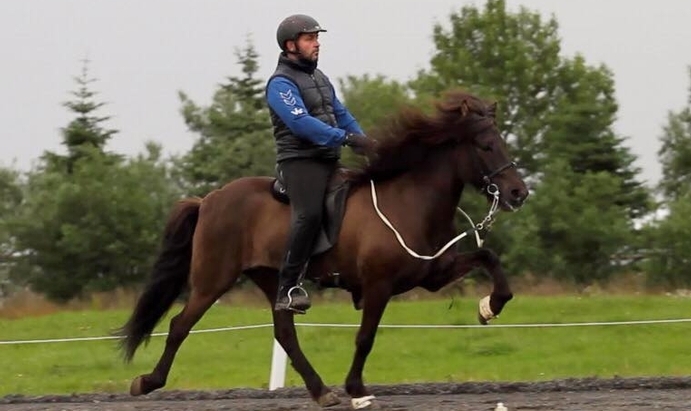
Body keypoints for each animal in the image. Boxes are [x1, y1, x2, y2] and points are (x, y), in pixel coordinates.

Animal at [117, 89, 528, 408]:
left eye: (503, 141)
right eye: (486, 145)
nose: (517, 193)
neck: (410, 202)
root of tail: (208, 200)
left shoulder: (433, 274)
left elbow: (488, 258)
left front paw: (489, 307)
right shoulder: (378, 285)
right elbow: (366, 337)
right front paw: (357, 389)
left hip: (273, 279)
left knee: (284, 334)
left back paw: (320, 392)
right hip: (212, 279)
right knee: (179, 325)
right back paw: (147, 382)